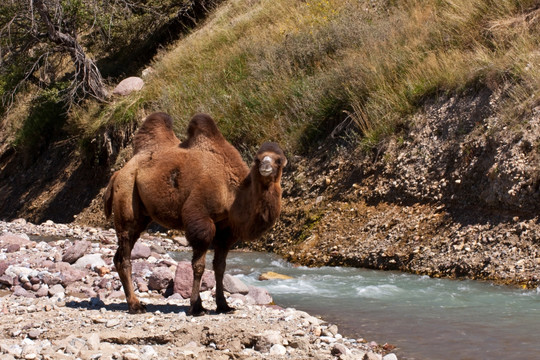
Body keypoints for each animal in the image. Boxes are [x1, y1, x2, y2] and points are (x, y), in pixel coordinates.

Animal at [102, 112, 286, 316]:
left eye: (279, 160)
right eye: (258, 159)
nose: (265, 168)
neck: (232, 193)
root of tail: (118, 172)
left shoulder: (225, 229)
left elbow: (220, 267)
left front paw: (223, 305)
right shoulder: (200, 217)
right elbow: (199, 266)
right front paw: (196, 307)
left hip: (141, 213)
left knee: (120, 254)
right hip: (127, 192)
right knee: (124, 254)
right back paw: (135, 305)